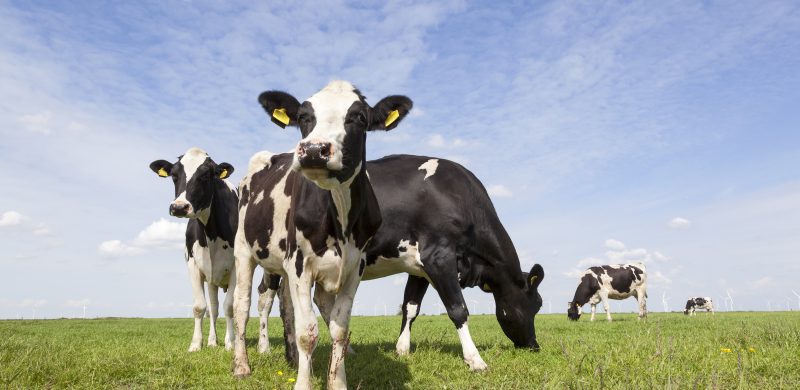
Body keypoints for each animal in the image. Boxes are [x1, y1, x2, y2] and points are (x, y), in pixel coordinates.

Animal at [149, 148, 238, 352]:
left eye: (205, 175)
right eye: (174, 175)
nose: (179, 207)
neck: (211, 232)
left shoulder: (237, 266)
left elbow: (230, 307)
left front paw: (231, 343)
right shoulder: (193, 265)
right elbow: (200, 307)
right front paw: (196, 344)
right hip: (212, 279)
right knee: (213, 308)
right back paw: (213, 341)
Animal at [228, 80, 410, 388]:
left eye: (359, 117)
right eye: (304, 117)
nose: (314, 150)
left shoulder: (354, 266)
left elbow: (339, 328)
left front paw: (337, 382)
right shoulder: (300, 264)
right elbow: (307, 332)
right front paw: (303, 383)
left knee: (291, 305)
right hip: (244, 251)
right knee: (242, 306)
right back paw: (242, 365)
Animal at [260, 155, 548, 372]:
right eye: (535, 304)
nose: (534, 346)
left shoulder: (419, 267)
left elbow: (411, 307)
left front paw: (402, 349)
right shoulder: (439, 257)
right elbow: (458, 309)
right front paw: (475, 360)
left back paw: (340, 351)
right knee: (274, 300)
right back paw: (280, 354)